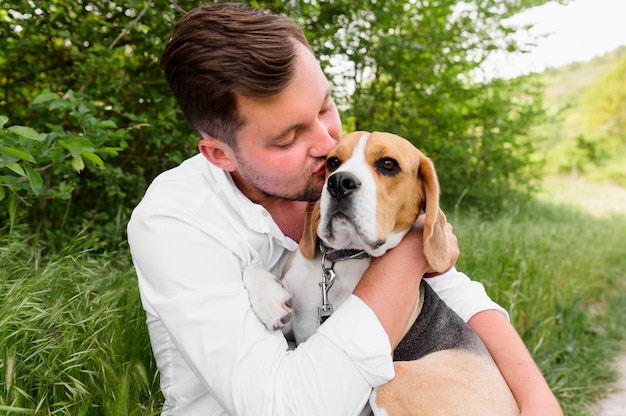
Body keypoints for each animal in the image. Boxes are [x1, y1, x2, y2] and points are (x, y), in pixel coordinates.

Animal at [244, 131, 516, 416]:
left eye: (388, 164)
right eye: (333, 162)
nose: (338, 182)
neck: (342, 261)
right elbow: (252, 265)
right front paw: (270, 301)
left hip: (394, 383)